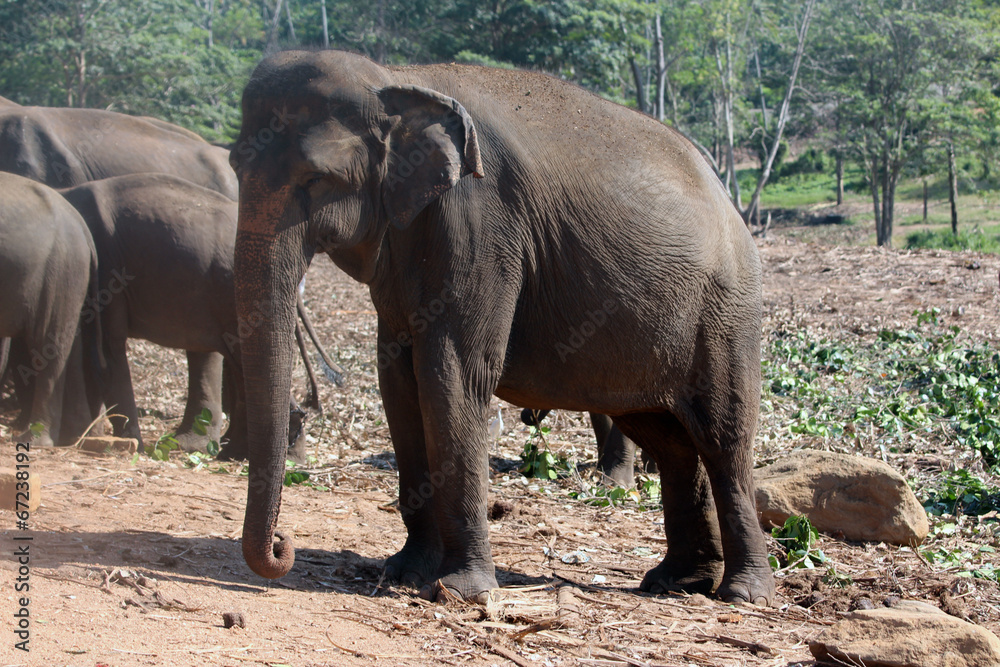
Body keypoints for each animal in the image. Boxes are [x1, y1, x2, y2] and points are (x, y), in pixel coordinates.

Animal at [0, 172, 100, 447]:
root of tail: (83, 228)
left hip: (59, 269)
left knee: (48, 343)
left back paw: (36, 439)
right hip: (69, 275)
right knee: (71, 347)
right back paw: (75, 433)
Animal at [230, 50, 774, 607]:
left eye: (317, 179)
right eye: (233, 165)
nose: (283, 543)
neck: (396, 79)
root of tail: (728, 197)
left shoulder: (480, 223)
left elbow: (453, 372)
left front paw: (459, 590)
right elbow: (398, 379)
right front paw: (403, 571)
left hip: (726, 311)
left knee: (723, 437)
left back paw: (743, 594)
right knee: (669, 439)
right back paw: (677, 582)